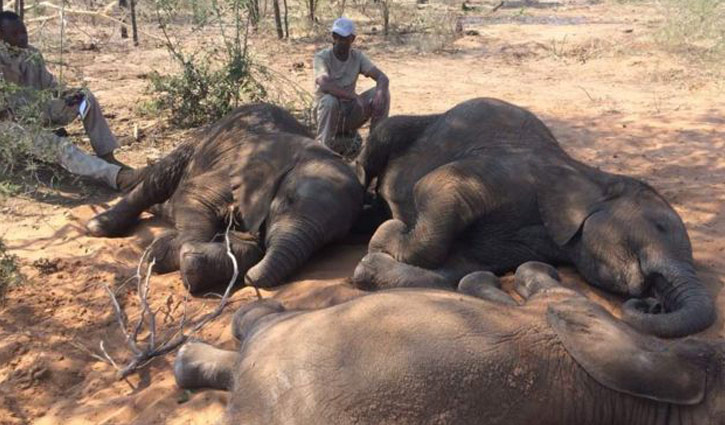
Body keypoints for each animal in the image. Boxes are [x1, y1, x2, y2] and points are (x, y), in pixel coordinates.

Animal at [87, 103, 364, 291]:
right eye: (288, 201)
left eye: (331, 241)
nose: (251, 278)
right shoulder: (232, 172)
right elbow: (194, 195)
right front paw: (165, 253)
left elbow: (252, 247)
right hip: (197, 142)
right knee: (159, 180)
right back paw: (99, 226)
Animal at [351, 97, 716, 338]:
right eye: (660, 227)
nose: (653, 305)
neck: (591, 176)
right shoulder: (512, 173)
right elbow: (437, 185)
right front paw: (387, 233)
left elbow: (458, 267)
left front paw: (372, 263)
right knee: (379, 142)